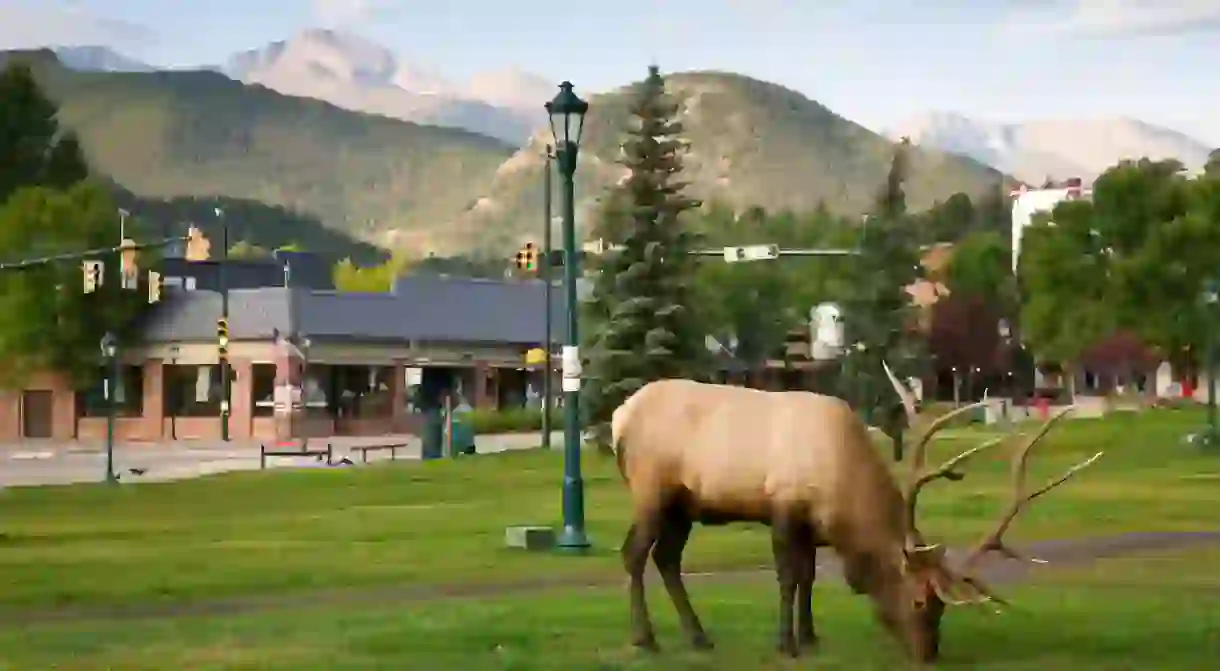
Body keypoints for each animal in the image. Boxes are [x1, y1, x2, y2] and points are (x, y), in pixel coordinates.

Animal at [614, 373, 1102, 663]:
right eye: (921, 601)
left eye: (943, 606)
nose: (929, 655)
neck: (842, 497)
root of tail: (619, 418)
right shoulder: (784, 508)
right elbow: (788, 577)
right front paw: (787, 644)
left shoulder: (811, 527)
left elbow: (808, 577)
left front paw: (810, 637)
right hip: (651, 489)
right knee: (634, 553)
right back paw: (645, 639)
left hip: (683, 506)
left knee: (667, 559)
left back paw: (698, 636)